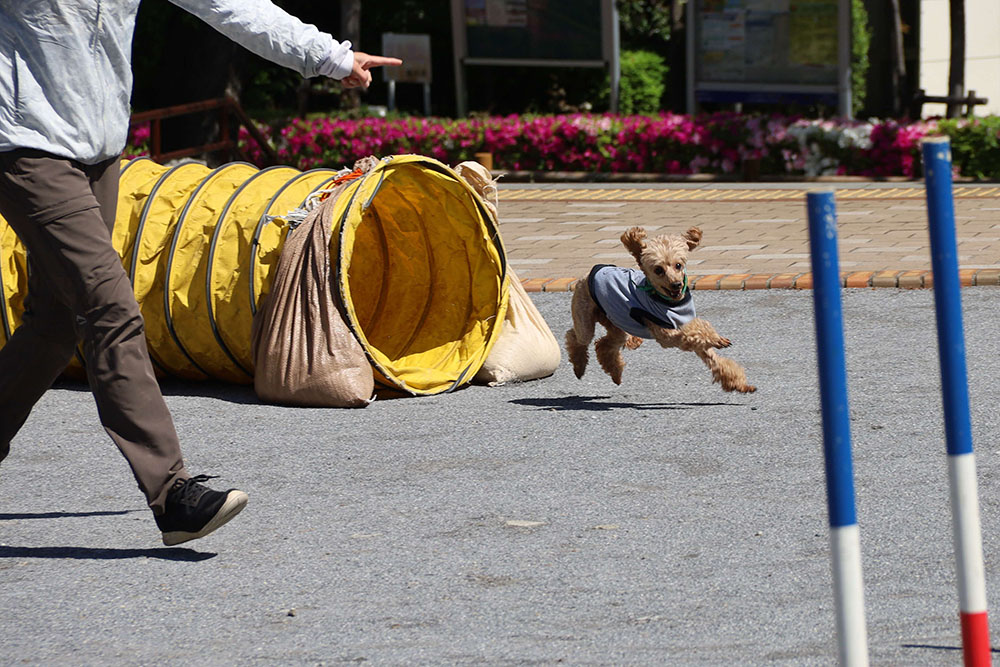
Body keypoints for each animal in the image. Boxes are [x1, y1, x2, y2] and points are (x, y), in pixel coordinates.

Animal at [568, 226, 752, 392]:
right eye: (658, 270)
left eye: (678, 265)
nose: (676, 284)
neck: (670, 303)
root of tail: (593, 270)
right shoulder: (667, 335)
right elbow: (693, 334)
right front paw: (717, 339)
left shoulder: (690, 332)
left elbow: (716, 360)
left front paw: (738, 384)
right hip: (585, 317)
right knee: (576, 337)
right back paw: (579, 368)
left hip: (617, 322)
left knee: (604, 345)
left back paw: (616, 375)